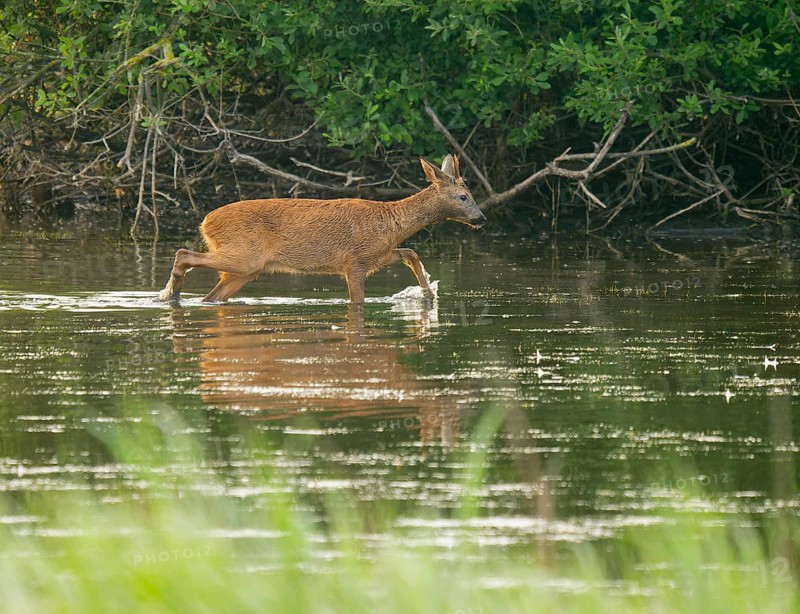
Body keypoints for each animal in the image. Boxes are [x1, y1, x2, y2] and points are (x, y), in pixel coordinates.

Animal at [157, 154, 486, 304]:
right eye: (463, 196)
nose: (481, 218)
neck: (392, 223)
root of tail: (206, 221)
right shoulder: (355, 261)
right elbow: (357, 300)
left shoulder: (378, 254)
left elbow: (410, 252)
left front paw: (427, 292)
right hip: (244, 255)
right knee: (183, 253)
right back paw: (170, 292)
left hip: (246, 269)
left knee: (211, 296)